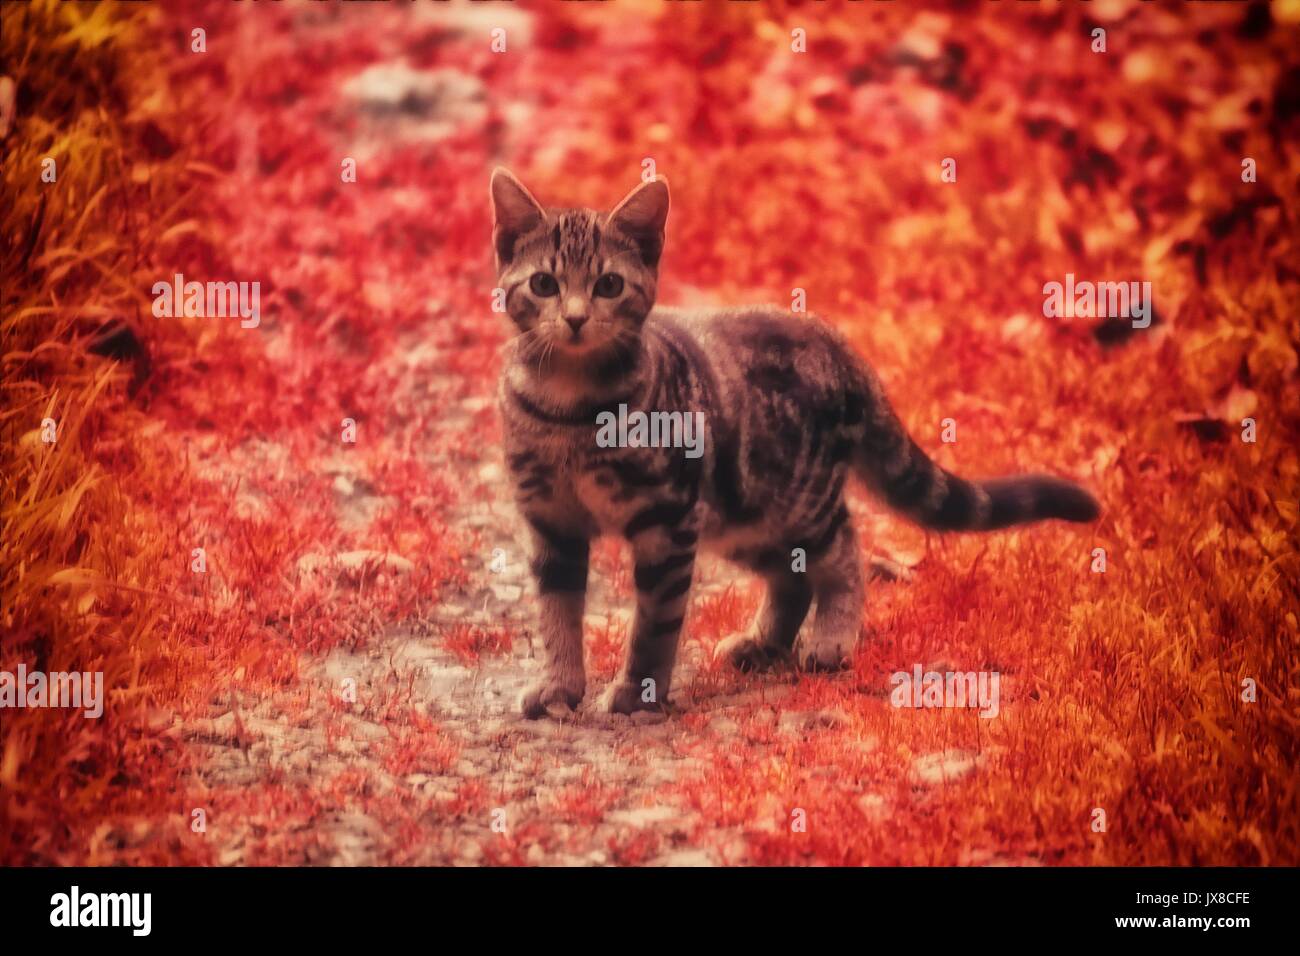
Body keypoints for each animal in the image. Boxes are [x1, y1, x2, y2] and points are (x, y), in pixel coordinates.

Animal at [491, 167, 1102, 717]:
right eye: (543, 284)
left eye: (609, 285)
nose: (574, 319)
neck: (569, 408)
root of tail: (840, 346)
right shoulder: (551, 520)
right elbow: (557, 614)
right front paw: (561, 687)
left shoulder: (668, 519)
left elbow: (654, 626)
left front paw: (638, 693)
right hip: (745, 512)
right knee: (794, 573)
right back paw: (764, 643)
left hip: (789, 498)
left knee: (845, 549)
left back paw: (831, 638)